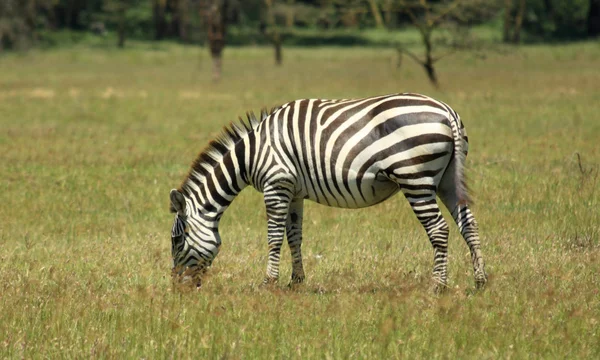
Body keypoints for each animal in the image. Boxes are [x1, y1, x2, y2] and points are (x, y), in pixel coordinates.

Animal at [170, 92, 488, 290]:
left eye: (177, 240)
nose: (176, 289)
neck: (250, 155)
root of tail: (446, 111)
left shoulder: (276, 184)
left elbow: (274, 238)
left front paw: (268, 283)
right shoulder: (294, 191)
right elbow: (294, 236)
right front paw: (296, 282)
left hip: (415, 178)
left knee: (439, 229)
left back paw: (437, 286)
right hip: (447, 178)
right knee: (468, 224)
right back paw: (480, 282)